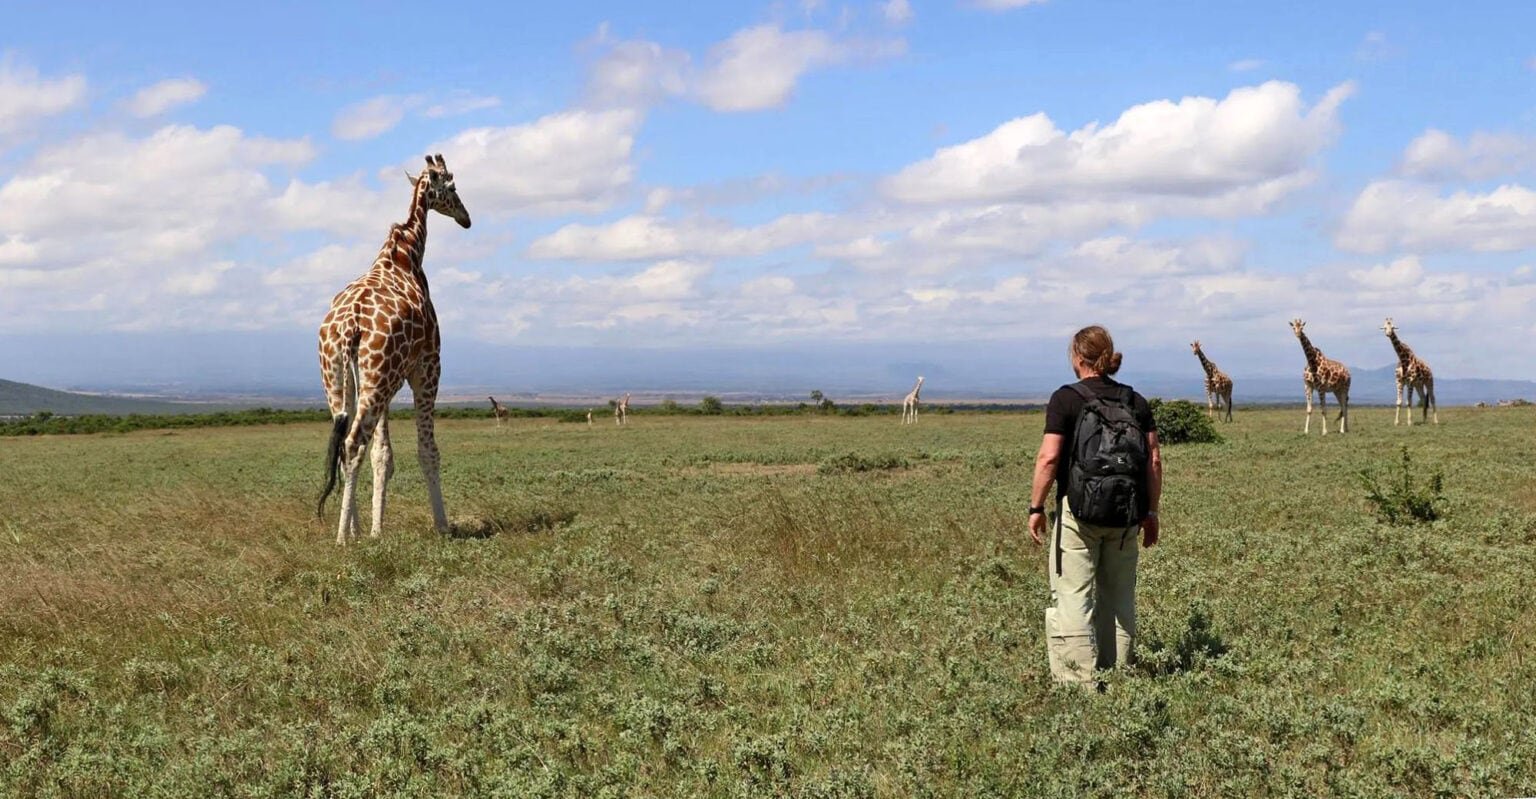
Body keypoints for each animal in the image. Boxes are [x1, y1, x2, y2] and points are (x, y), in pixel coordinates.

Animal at [316, 154, 471, 544]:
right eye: (452, 186)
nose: (466, 218)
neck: (406, 256)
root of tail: (347, 326)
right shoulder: (427, 367)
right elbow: (427, 450)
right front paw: (442, 526)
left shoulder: (389, 380)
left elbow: (383, 455)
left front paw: (375, 530)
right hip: (378, 379)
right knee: (353, 442)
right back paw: (341, 537)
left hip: (339, 378)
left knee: (343, 443)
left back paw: (351, 531)